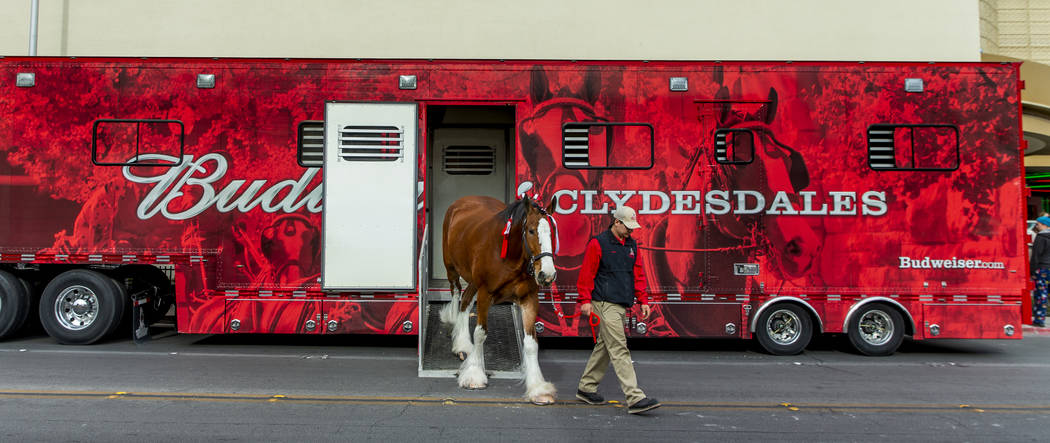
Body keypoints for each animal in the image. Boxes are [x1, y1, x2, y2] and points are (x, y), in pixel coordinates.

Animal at [440, 194, 562, 405]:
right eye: (531, 230)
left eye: (552, 233)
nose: (547, 275)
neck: (510, 258)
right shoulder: (485, 294)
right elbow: (481, 333)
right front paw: (475, 375)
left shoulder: (529, 299)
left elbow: (531, 344)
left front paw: (538, 389)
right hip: (452, 270)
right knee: (456, 295)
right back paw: (459, 342)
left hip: (473, 282)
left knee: (465, 301)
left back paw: (463, 343)